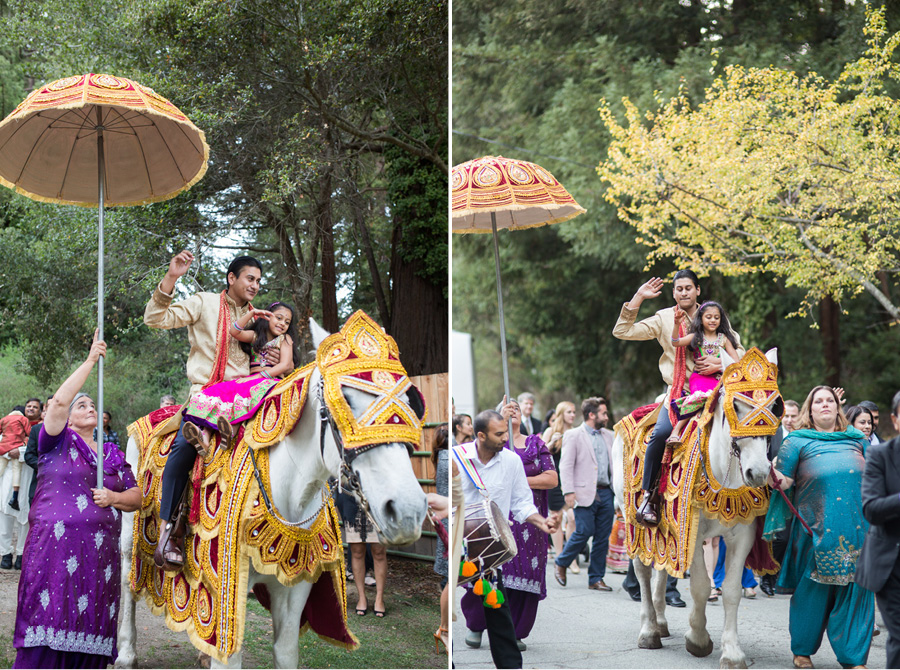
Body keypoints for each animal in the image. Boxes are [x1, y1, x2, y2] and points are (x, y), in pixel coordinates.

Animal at [117, 320, 428, 670]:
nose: (407, 511)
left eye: (411, 400)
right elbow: (229, 656)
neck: (291, 493)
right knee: (127, 580)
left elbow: (286, 651)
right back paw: (126, 652)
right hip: (131, 530)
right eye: (344, 400)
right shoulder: (226, 589)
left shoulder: (296, 586)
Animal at [612, 350, 780, 668]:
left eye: (775, 405)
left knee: (662, 569)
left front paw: (732, 652)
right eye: (735, 405)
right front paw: (698, 639)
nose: (758, 472)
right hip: (632, 518)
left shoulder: (741, 535)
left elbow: (731, 591)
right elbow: (701, 585)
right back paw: (649, 631)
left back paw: (661, 623)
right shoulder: (693, 531)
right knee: (642, 570)